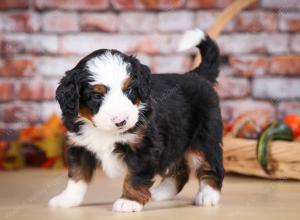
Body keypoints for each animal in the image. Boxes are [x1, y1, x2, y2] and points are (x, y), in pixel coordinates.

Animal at [48, 30, 223, 212]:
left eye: (129, 90)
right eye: (96, 95)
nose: (121, 121)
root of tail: (196, 75)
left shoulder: (143, 147)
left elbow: (136, 175)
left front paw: (129, 201)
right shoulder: (80, 145)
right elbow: (77, 175)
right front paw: (67, 199)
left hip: (204, 138)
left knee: (210, 166)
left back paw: (208, 196)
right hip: (175, 140)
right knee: (179, 170)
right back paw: (162, 193)